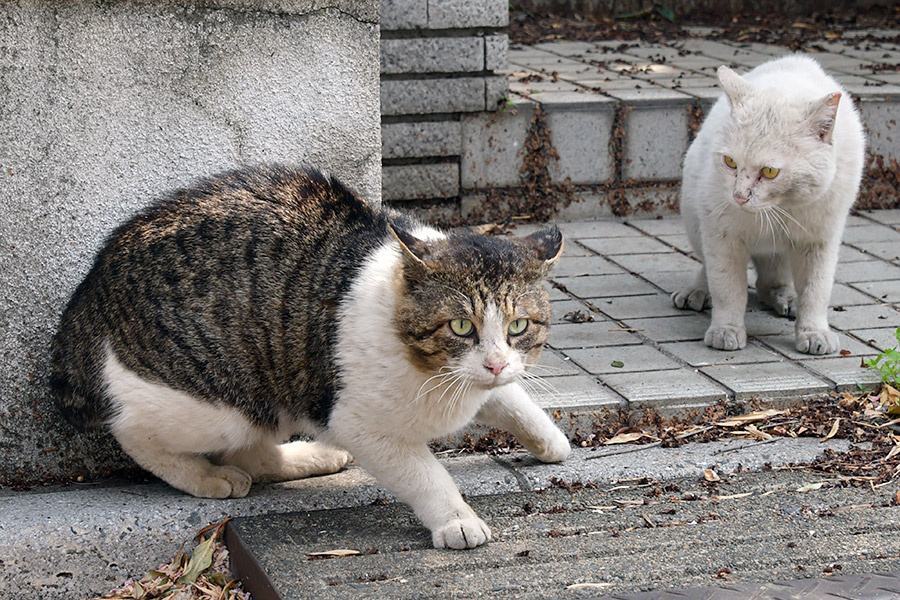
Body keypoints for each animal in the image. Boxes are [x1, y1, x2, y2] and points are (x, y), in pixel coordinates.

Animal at [51, 164, 568, 548]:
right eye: (461, 326)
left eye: (518, 326)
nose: (495, 363)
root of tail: (89, 297)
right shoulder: (360, 425)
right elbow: (426, 474)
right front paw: (456, 519)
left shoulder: (490, 381)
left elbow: (515, 400)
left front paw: (551, 441)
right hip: (220, 403)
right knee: (136, 433)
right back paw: (207, 477)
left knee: (258, 453)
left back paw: (310, 457)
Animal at [676, 54, 864, 354]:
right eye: (730, 162)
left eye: (770, 171)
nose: (739, 196)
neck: (780, 209)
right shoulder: (721, 235)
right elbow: (727, 287)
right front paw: (726, 330)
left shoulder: (820, 240)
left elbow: (816, 290)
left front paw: (814, 332)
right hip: (694, 217)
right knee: (708, 267)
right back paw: (697, 292)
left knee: (771, 278)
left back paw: (785, 297)